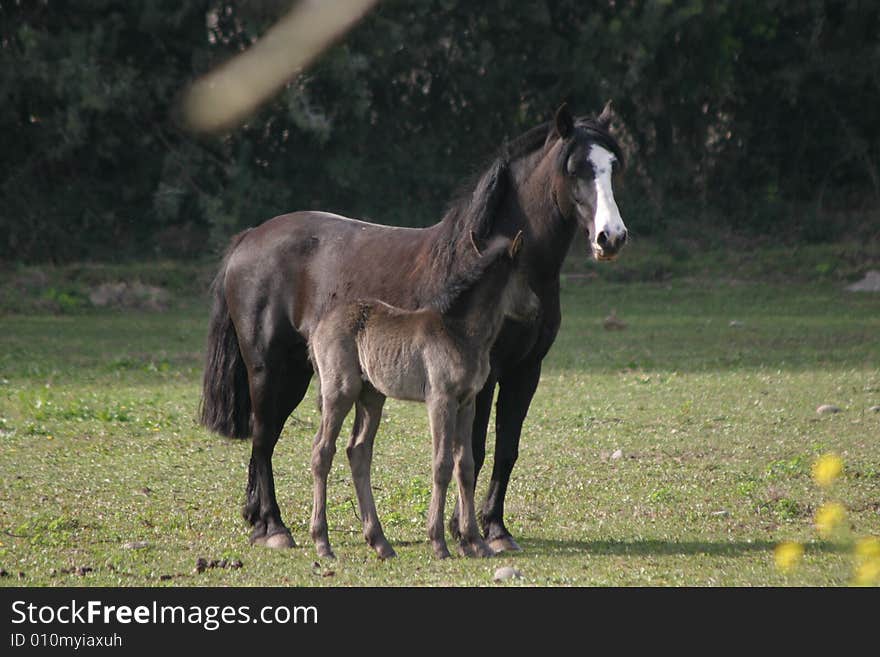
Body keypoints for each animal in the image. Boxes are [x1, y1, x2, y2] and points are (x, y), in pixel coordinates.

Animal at [199, 105, 624, 552]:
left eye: (613, 166)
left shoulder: (526, 371)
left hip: (299, 372)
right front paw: (461, 530)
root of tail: (249, 238)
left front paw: (495, 529)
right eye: (575, 169)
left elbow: (506, 449)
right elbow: (472, 448)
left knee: (268, 437)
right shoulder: (481, 379)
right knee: (264, 437)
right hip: (269, 368)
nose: (610, 238)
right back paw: (275, 527)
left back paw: (258, 519)